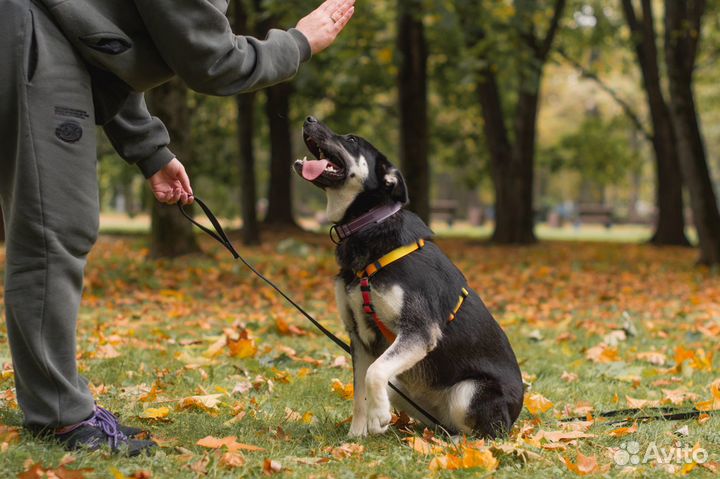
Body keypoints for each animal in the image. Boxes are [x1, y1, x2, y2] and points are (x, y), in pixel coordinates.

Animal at [292, 116, 524, 438]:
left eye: (351, 140)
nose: (309, 119)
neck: (367, 225)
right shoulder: (358, 337)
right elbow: (359, 392)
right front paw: (355, 438)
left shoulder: (418, 331)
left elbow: (374, 373)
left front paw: (378, 417)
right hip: (404, 386)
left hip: (469, 393)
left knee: (486, 433)